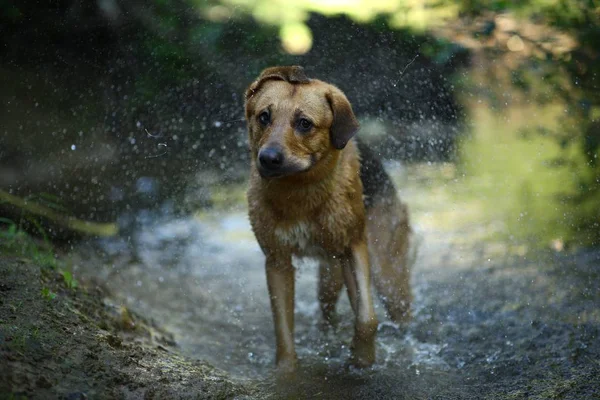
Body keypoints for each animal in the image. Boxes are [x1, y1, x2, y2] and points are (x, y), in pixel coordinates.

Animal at [244, 66, 412, 372]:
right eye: (264, 116)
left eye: (304, 123)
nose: (268, 159)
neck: (300, 191)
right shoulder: (277, 261)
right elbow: (283, 331)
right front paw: (286, 372)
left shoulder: (353, 246)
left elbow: (367, 318)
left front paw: (361, 359)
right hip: (329, 278)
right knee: (327, 312)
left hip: (386, 273)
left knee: (398, 309)